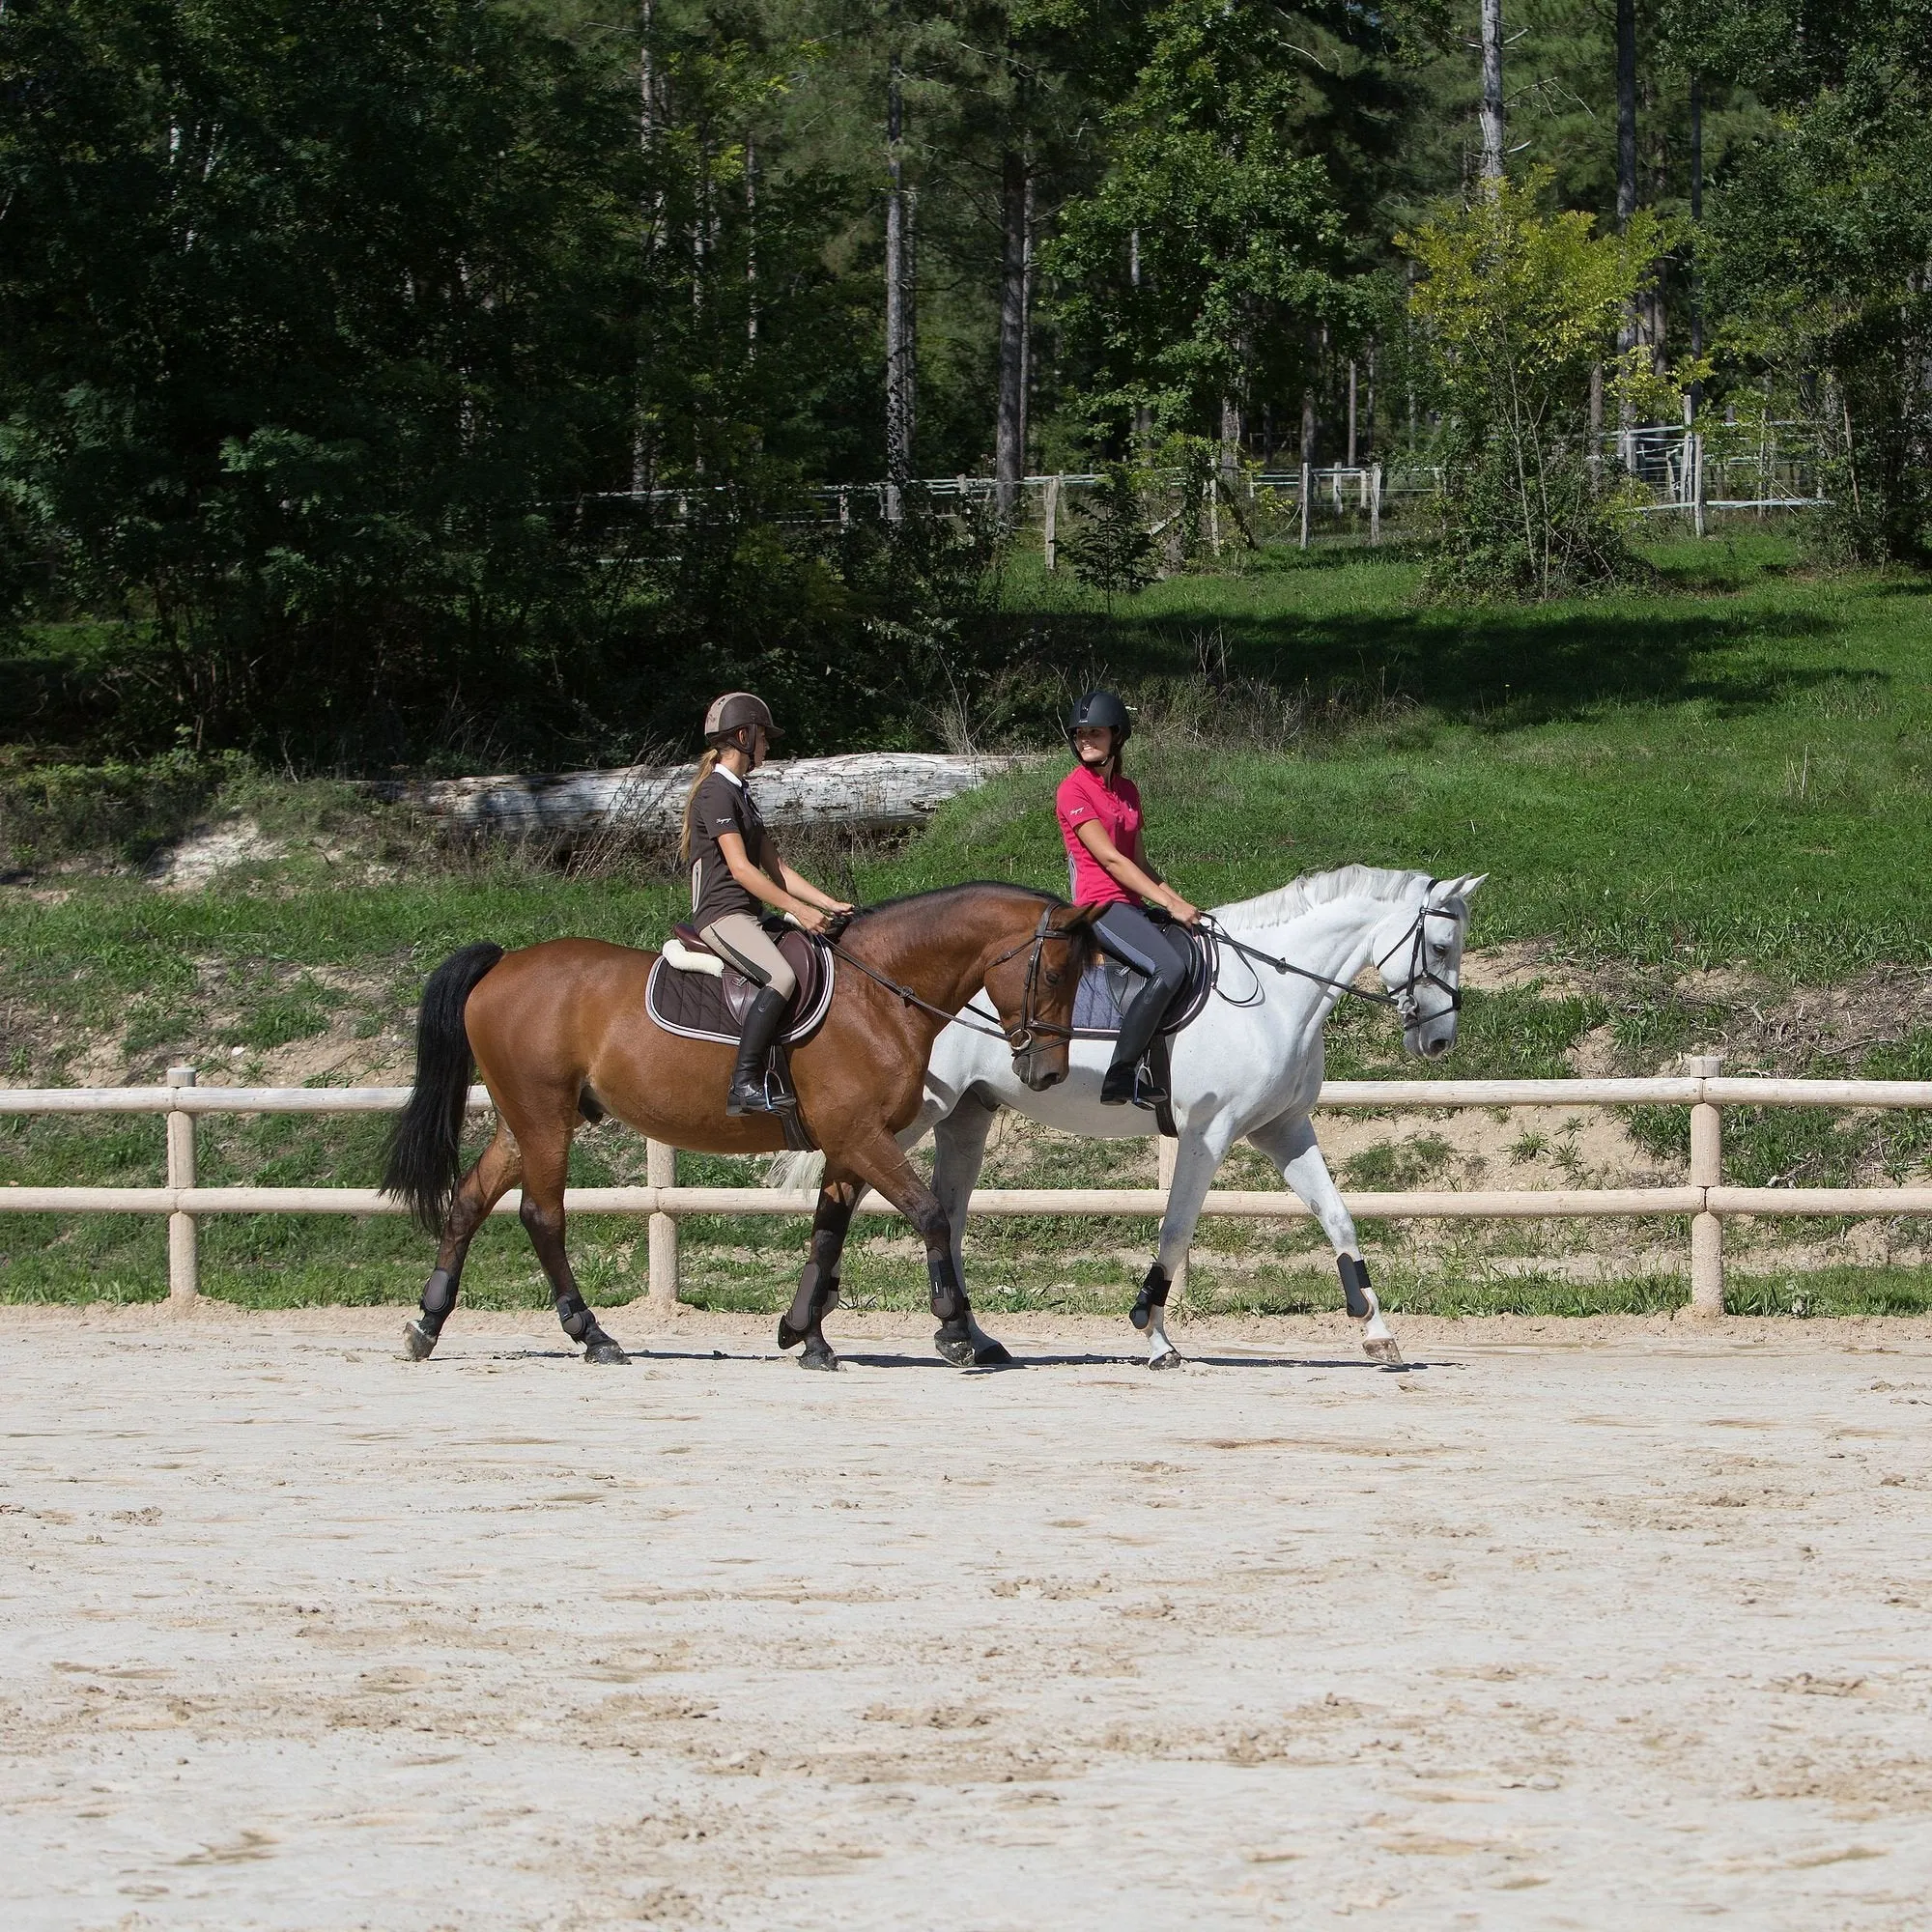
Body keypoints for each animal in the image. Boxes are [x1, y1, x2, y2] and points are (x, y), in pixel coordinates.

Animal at [383, 889, 1097, 1376]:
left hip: (525, 1122)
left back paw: (427, 1323)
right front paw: (951, 1332)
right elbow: (929, 1214)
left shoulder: (849, 1143)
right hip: (543, 1120)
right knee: (541, 1215)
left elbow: (827, 1233)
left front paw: (805, 1337)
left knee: (471, 1201)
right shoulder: (864, 1138)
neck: (877, 995)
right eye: (1054, 973)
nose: (1047, 1071)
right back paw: (593, 1335)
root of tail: (502, 962)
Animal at [904, 869, 1476, 1368]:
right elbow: (1176, 1231)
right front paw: (1155, 1336)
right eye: (1441, 948)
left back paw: (972, 1340)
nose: (1439, 1040)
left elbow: (1338, 1218)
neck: (1272, 997)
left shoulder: (1284, 1128)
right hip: (921, 1109)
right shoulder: (1208, 1133)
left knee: (949, 1217)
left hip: (967, 1115)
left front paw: (1378, 1333)